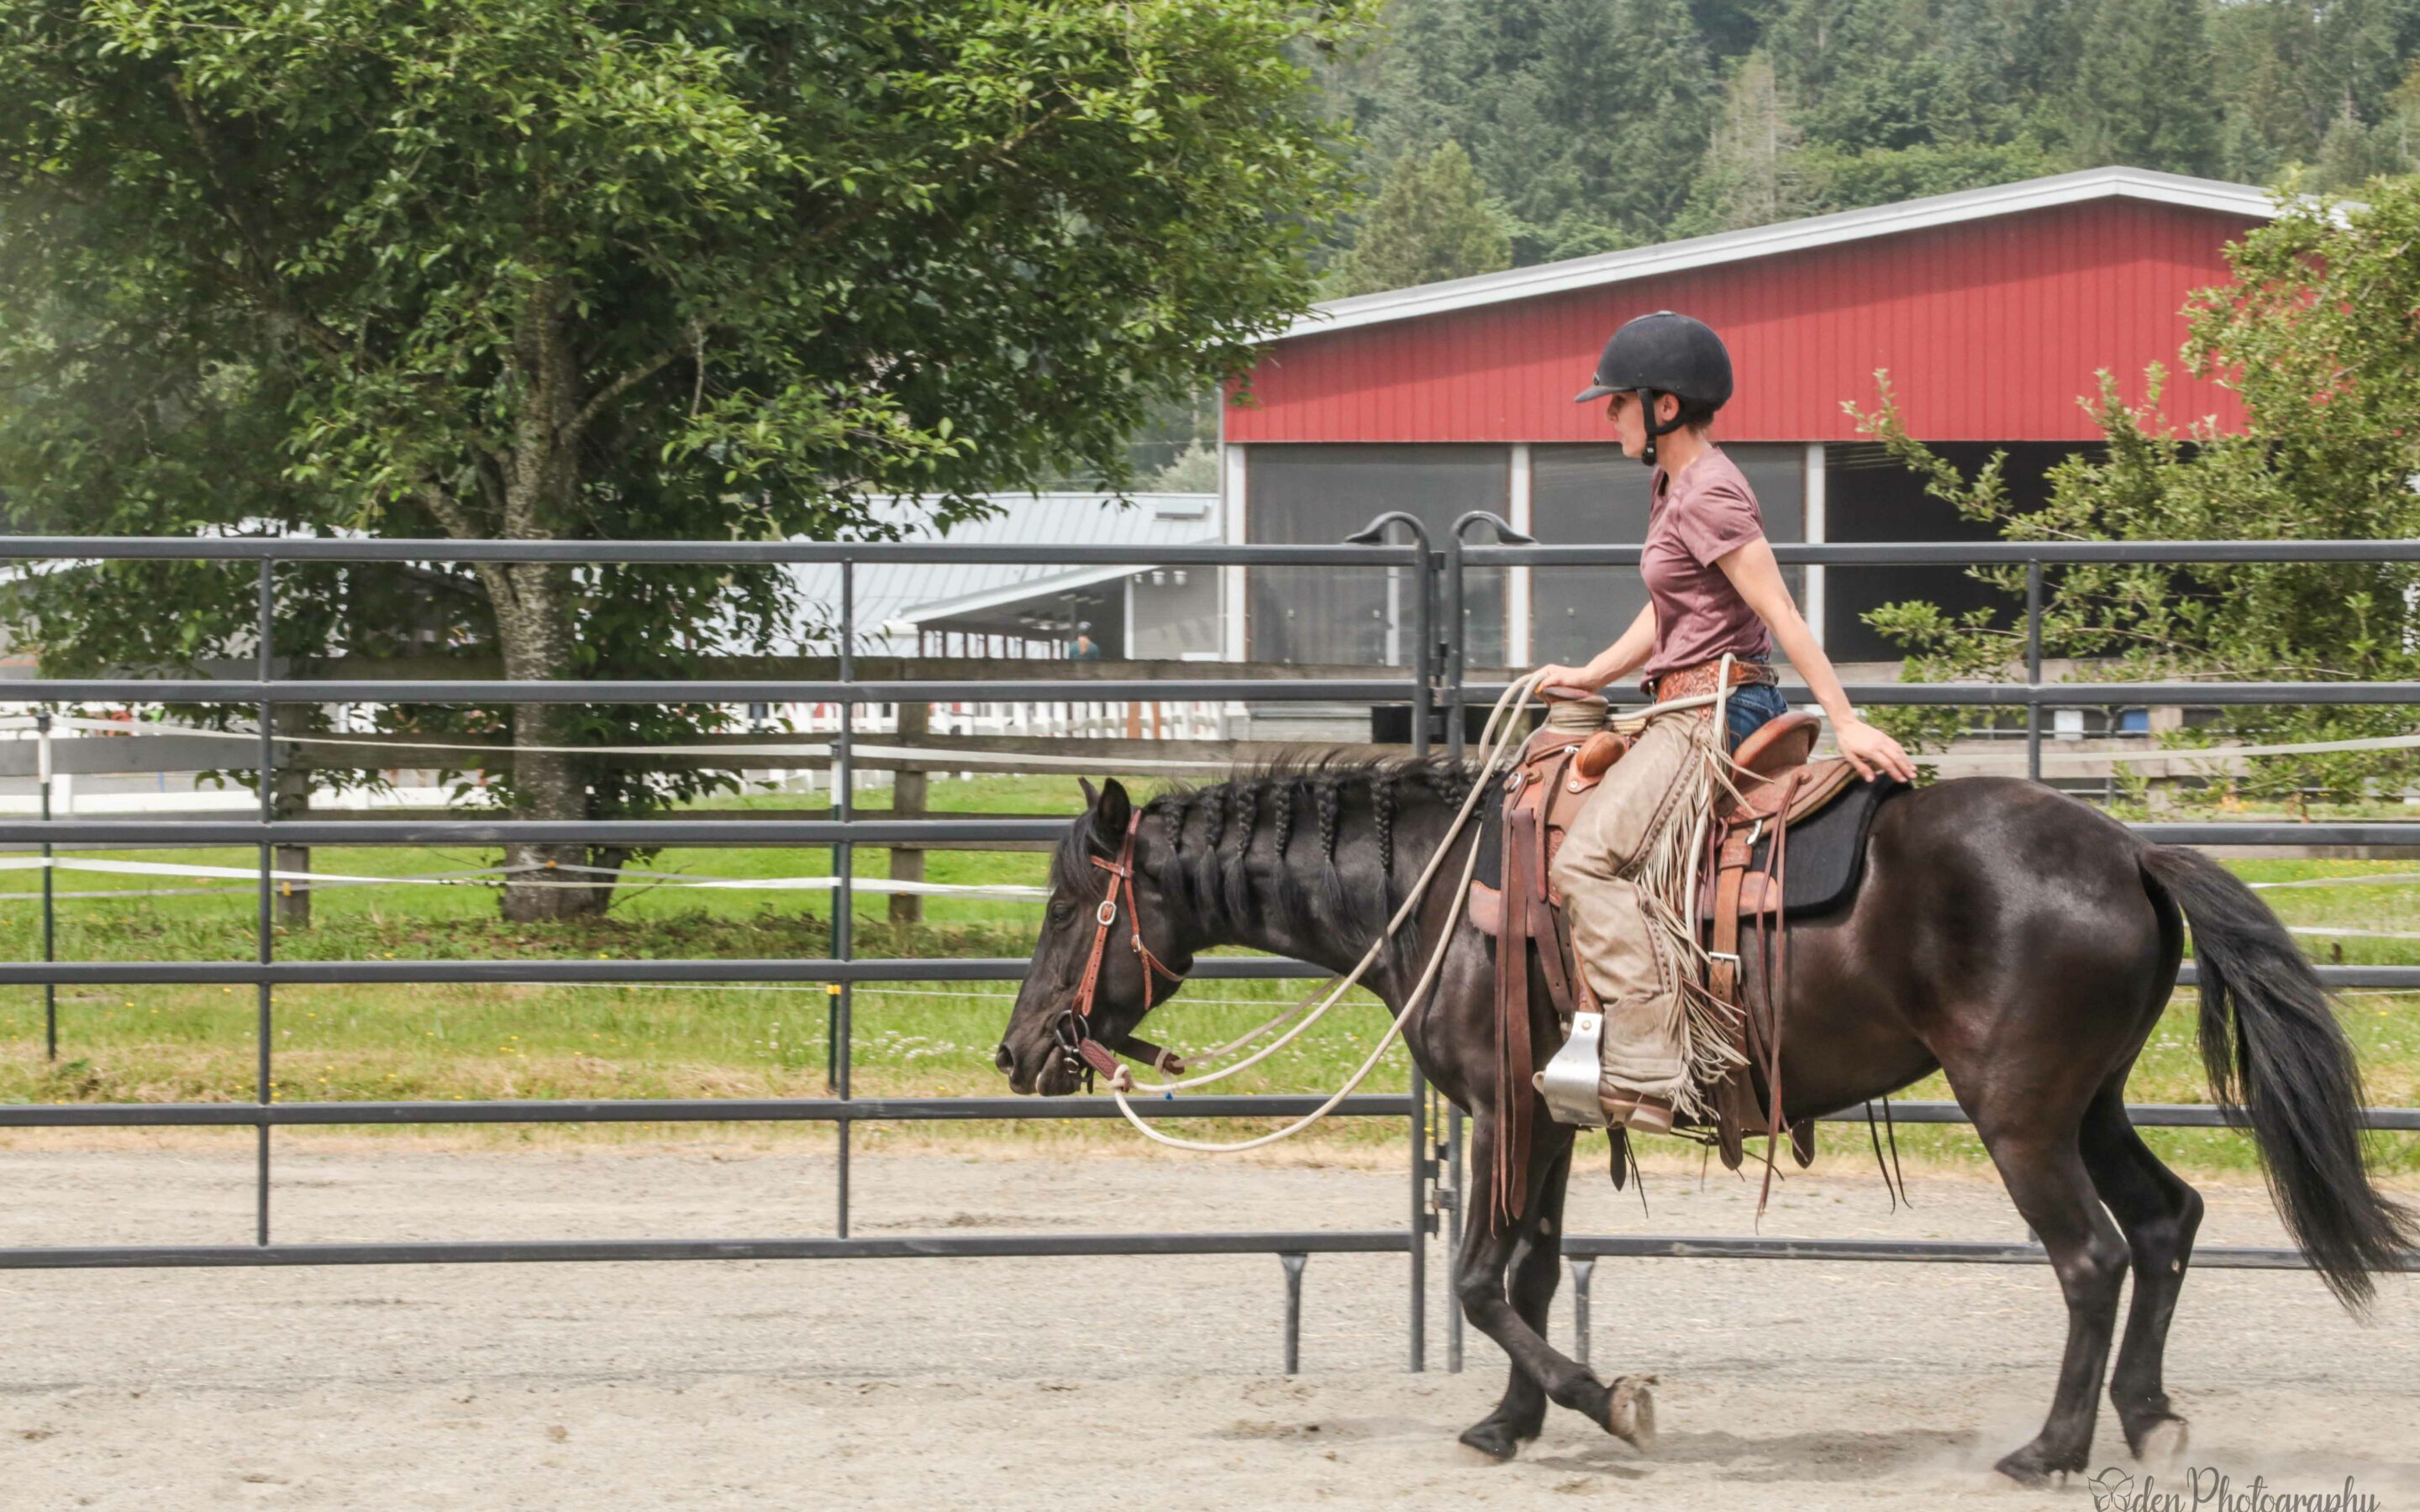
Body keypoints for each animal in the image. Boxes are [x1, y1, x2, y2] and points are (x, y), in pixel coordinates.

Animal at [987, 759, 2420, 1480]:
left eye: (1064, 907)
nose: (1017, 1053)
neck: (1442, 890)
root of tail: (2126, 849)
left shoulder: (1502, 1109)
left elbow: (1476, 1280)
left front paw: (1605, 1402)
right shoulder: (1554, 1120)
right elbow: (1530, 1271)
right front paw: (1508, 1425)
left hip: (2020, 1114)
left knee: (2092, 1257)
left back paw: (2050, 1450)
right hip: (2092, 1102)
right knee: (2169, 1222)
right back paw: (2147, 1420)